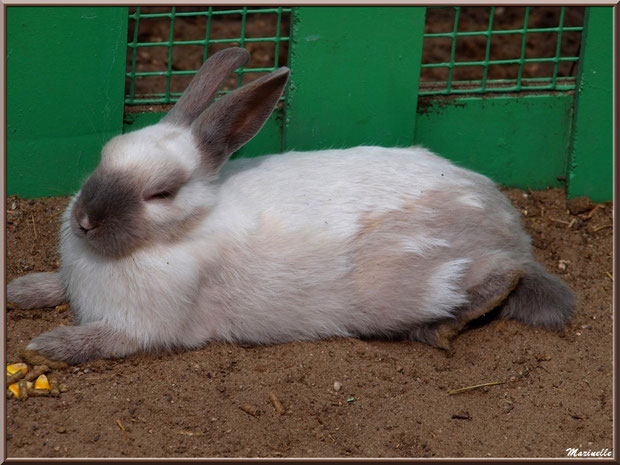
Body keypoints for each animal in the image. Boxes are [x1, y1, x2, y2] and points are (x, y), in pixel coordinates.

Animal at [6, 48, 576, 366]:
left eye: (160, 194)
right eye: (104, 157)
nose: (84, 221)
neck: (187, 229)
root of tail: (511, 230)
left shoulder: (141, 330)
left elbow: (99, 341)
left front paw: (47, 346)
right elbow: (54, 285)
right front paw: (21, 291)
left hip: (430, 281)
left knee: (502, 279)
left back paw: (444, 327)